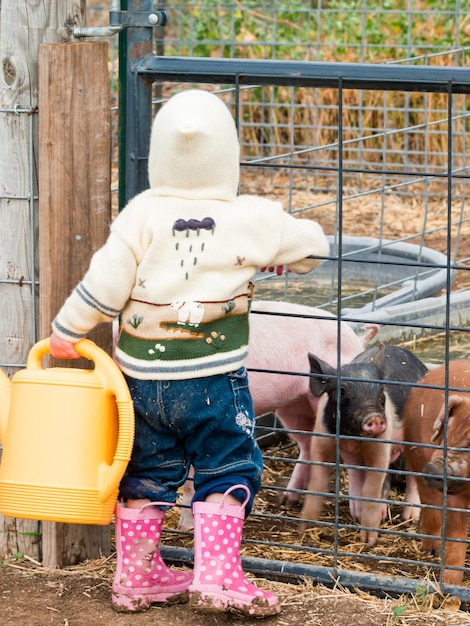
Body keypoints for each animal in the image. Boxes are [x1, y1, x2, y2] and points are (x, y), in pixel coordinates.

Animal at [177, 298, 378, 528]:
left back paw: (359, 514)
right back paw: (287, 499)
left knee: (351, 457)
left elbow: (191, 481)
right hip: (294, 405)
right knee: (308, 445)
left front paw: (185, 527)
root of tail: (357, 339)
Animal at [302, 344, 428, 544]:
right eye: (342, 392)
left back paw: (410, 518)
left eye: (381, 393)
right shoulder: (323, 437)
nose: (374, 417)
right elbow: (319, 479)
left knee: (412, 474)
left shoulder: (382, 443)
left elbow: (372, 486)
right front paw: (305, 526)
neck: (354, 437)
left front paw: (368, 540)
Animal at [402, 358, 470, 584]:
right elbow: (456, 535)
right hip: (413, 450)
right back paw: (431, 549)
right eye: (445, 434)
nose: (433, 468)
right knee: (429, 502)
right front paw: (450, 584)